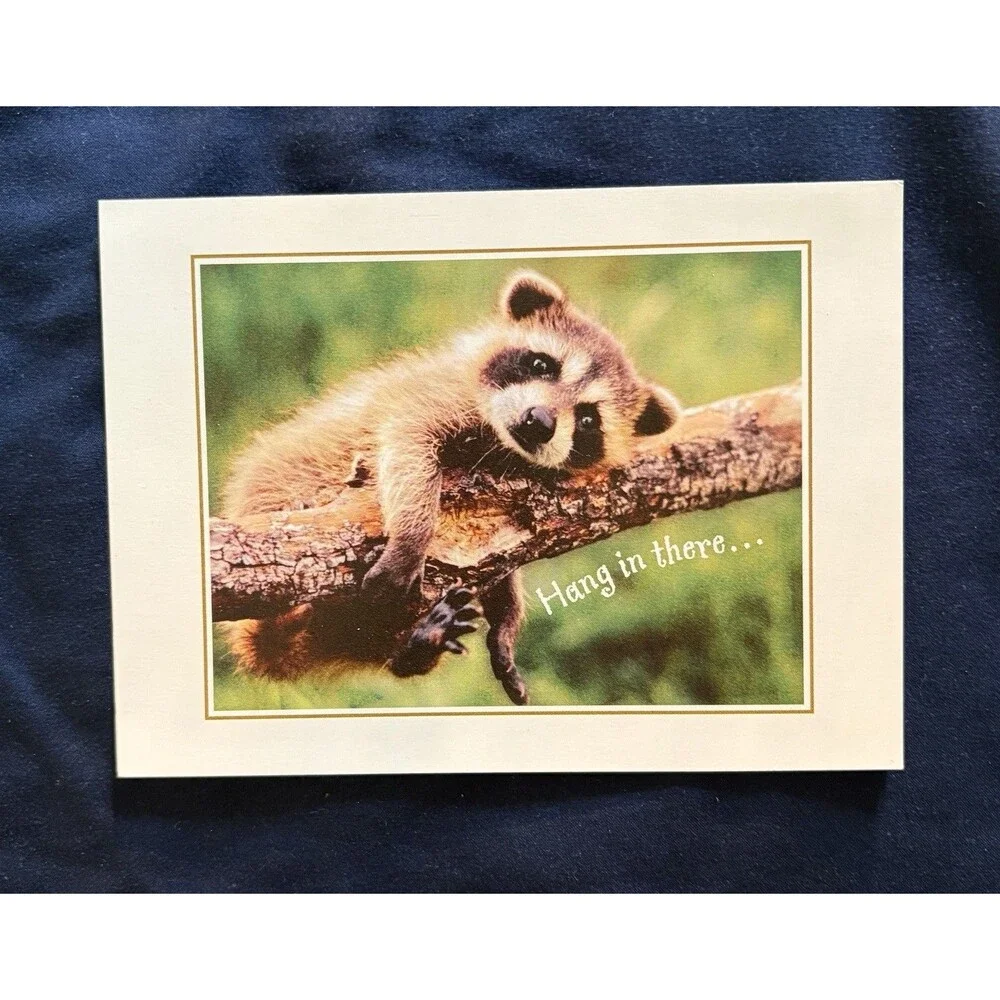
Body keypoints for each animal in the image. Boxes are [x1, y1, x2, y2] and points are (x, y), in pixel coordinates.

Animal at [220, 271, 681, 704]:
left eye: (587, 420)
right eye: (541, 365)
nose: (540, 421)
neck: (499, 444)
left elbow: (503, 555)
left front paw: (507, 618)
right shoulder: (434, 395)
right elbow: (408, 445)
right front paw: (411, 538)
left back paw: (418, 645)